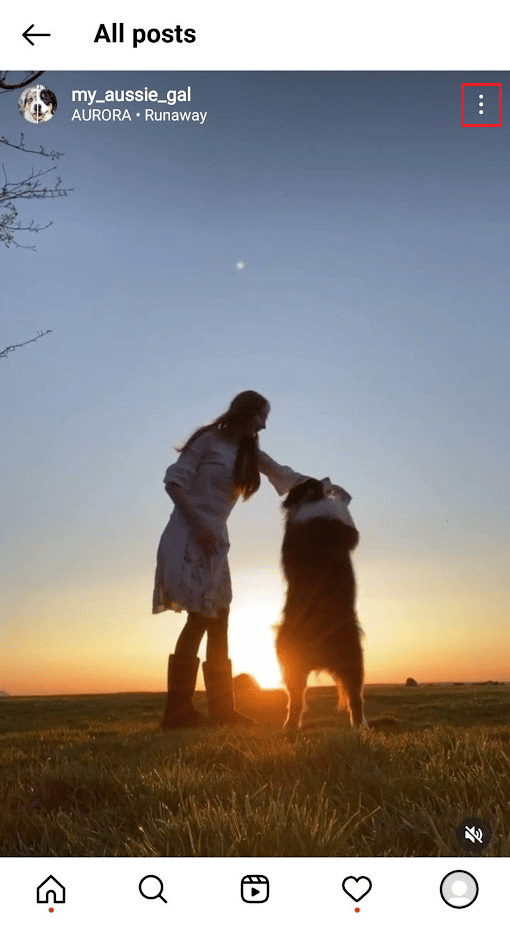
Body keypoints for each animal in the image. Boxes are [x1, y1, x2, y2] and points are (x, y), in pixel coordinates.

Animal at [274, 480, 366, 728]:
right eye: (312, 482)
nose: (327, 477)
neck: (306, 502)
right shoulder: (345, 530)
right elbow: (347, 519)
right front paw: (340, 494)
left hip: (290, 664)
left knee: (296, 698)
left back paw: (290, 727)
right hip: (354, 658)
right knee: (355, 697)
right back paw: (361, 726)